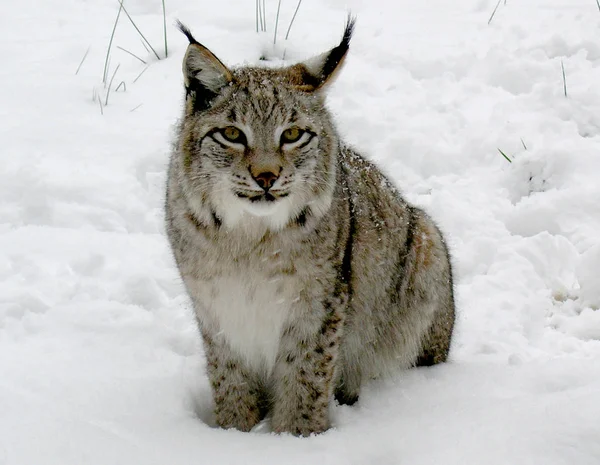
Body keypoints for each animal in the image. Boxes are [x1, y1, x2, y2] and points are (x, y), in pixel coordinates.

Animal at [164, 17, 454, 436]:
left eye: (292, 134)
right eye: (232, 134)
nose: (266, 177)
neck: (248, 238)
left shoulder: (318, 304)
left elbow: (305, 376)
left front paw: (299, 436)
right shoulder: (216, 305)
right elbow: (229, 377)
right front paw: (234, 432)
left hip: (427, 237)